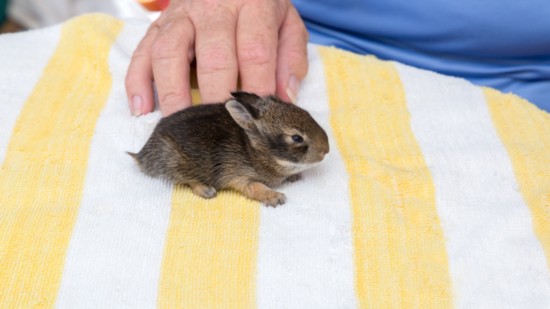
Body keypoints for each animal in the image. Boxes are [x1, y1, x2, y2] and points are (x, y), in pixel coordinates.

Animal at [128, 91, 328, 207]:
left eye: (306, 112)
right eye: (296, 138)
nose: (326, 150)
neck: (254, 148)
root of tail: (142, 155)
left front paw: (294, 176)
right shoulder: (240, 177)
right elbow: (255, 187)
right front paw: (276, 198)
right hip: (174, 162)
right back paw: (206, 190)